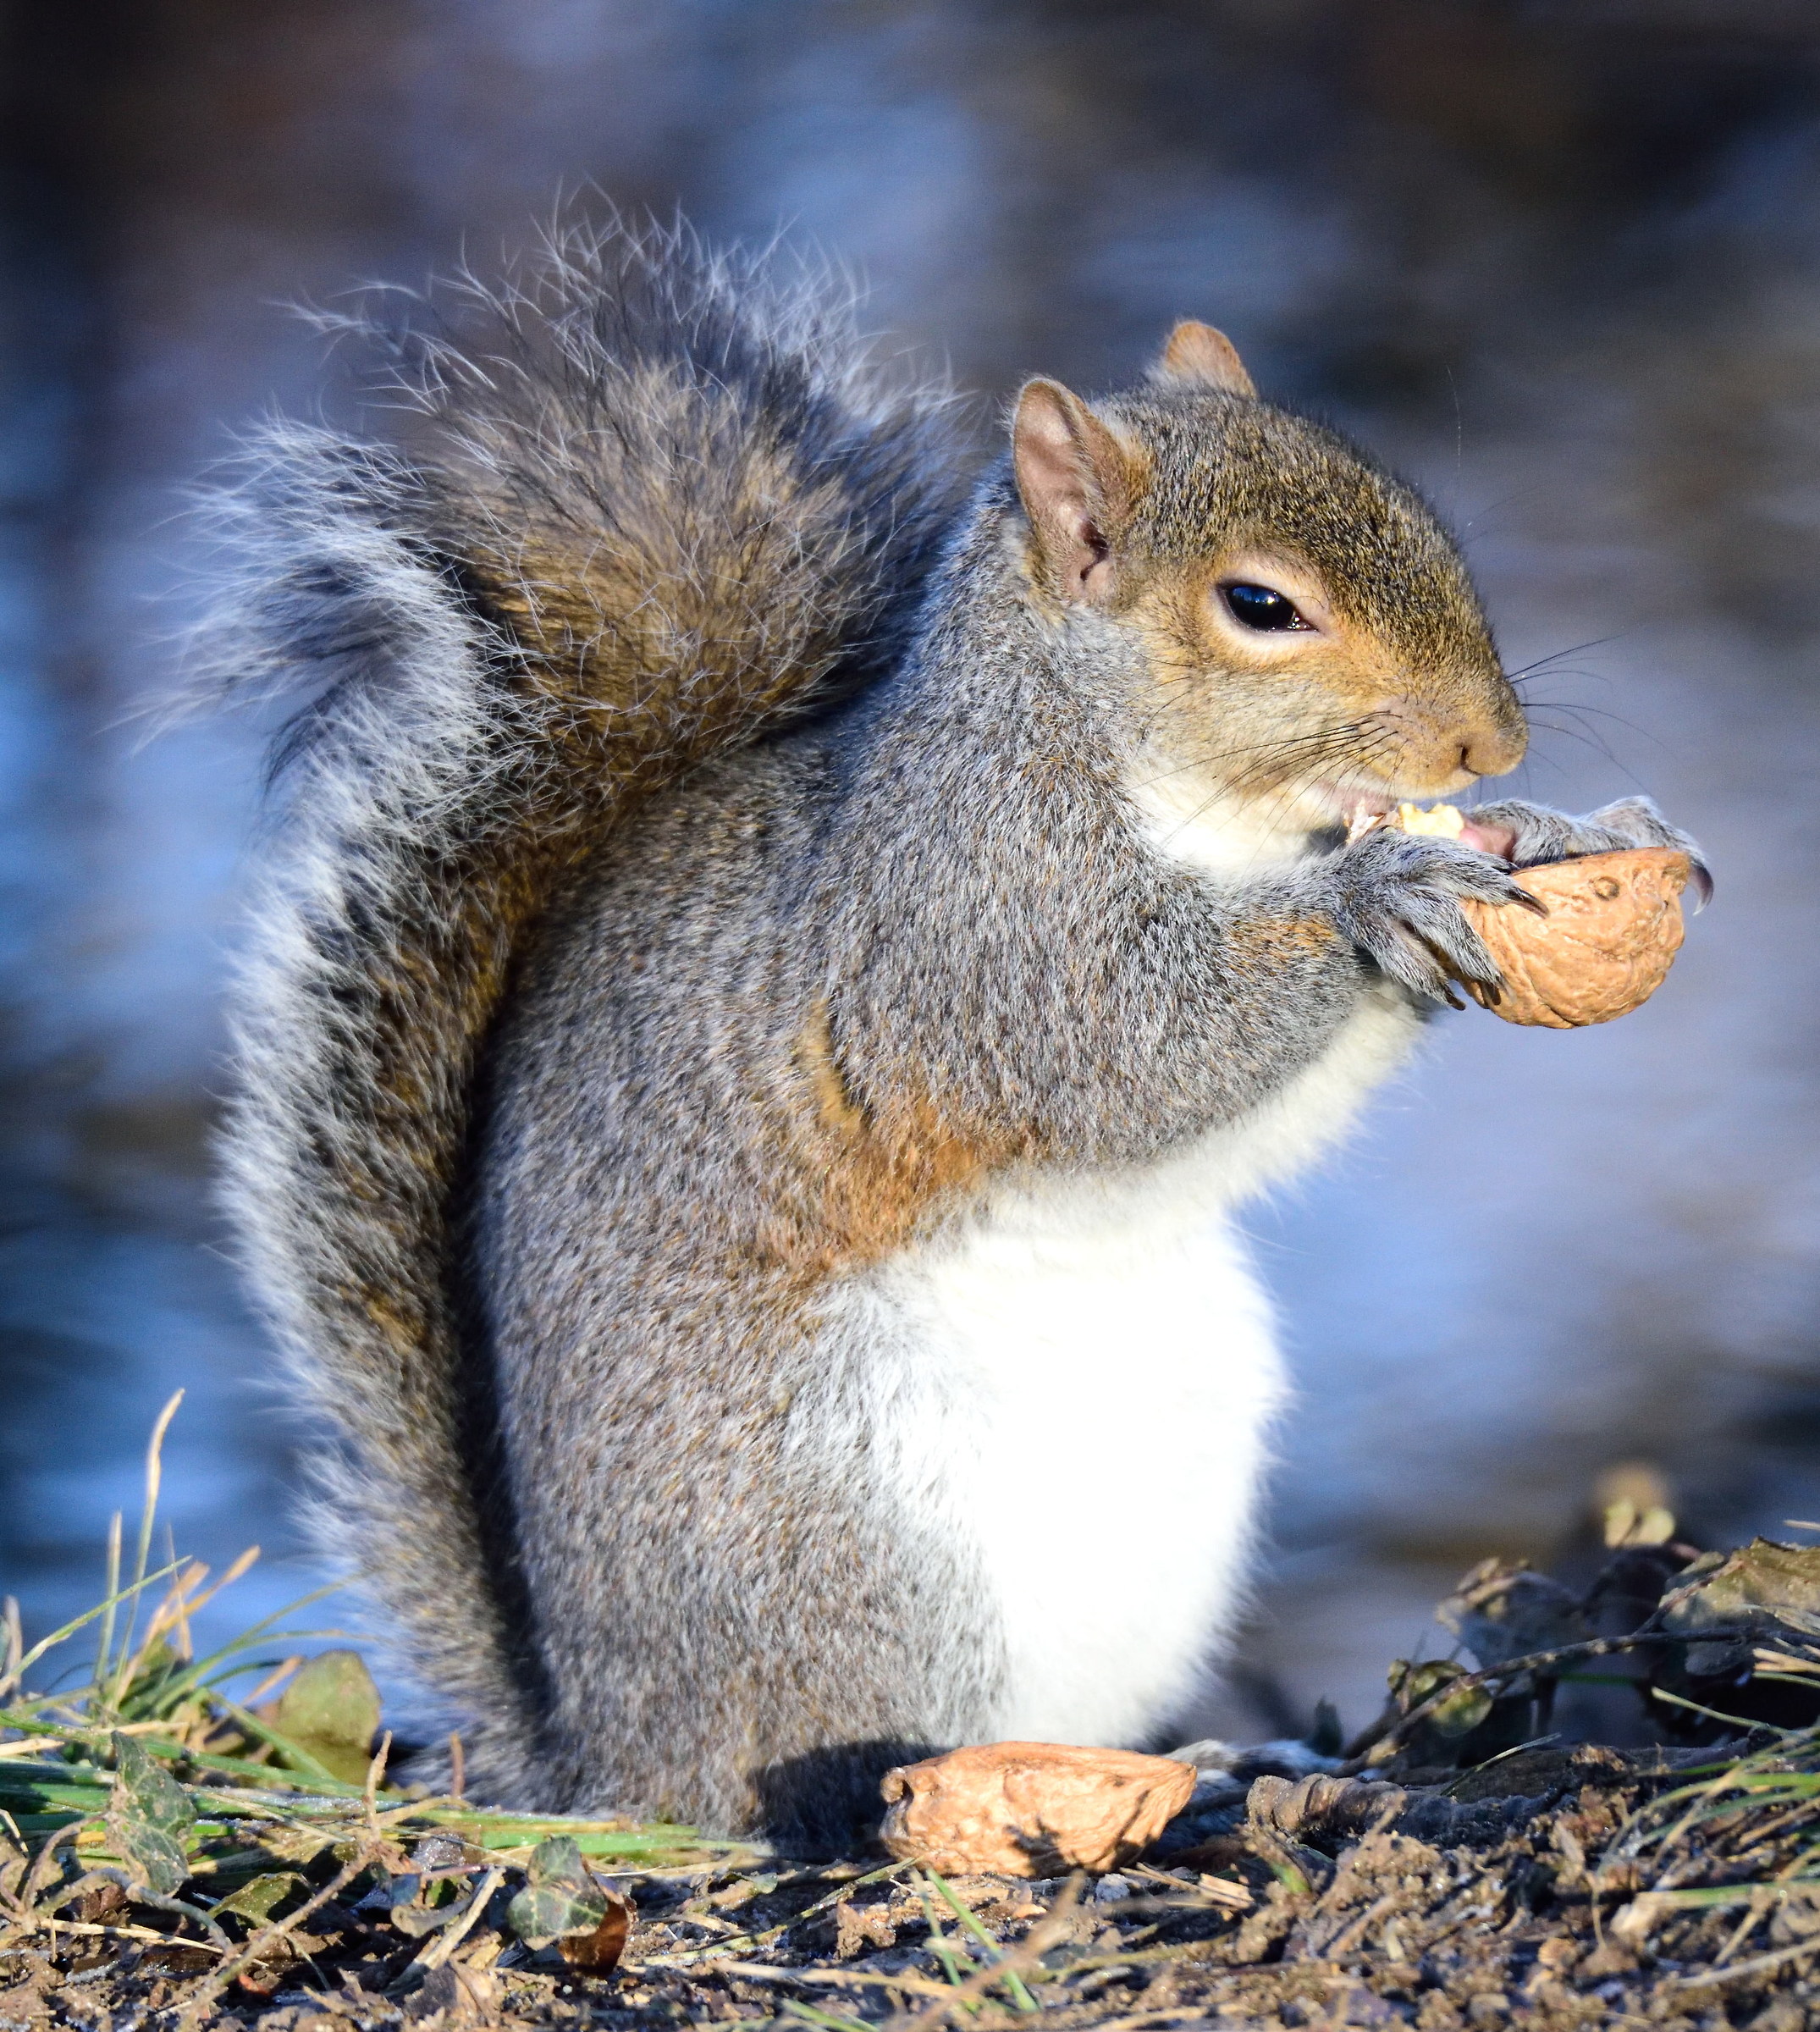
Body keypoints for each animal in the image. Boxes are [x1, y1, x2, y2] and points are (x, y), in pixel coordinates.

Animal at [195, 219, 1702, 1846]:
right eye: (1260, 606)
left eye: (1417, 517)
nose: (1493, 742)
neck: (1183, 796)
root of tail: (603, 1751)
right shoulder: (970, 926)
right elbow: (1130, 1046)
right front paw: (1383, 887)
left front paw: (1559, 831)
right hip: (853, 1544)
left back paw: (1218, 1759)